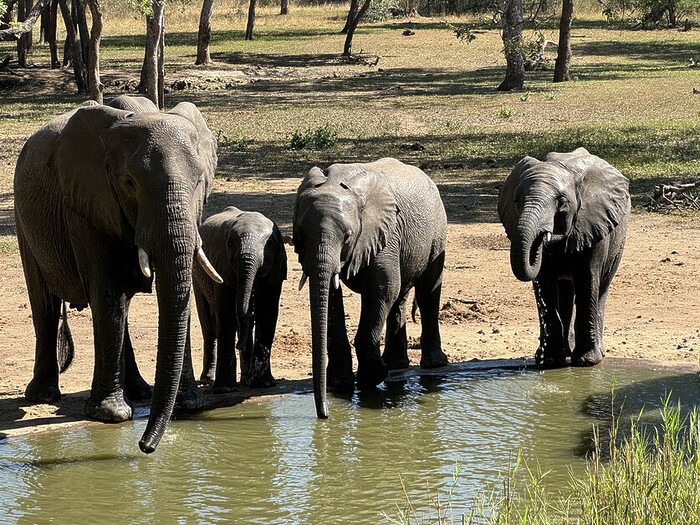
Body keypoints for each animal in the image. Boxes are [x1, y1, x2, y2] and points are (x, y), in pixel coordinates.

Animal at [14, 96, 221, 452]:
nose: (145, 446)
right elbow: (107, 291)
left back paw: (139, 391)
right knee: (45, 303)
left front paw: (191, 405)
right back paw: (43, 395)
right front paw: (111, 416)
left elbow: (174, 292)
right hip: (22, 217)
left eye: (198, 182)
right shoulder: (86, 201)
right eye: (129, 183)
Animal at [191, 207, 288, 390]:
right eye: (230, 243)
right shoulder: (220, 264)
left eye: (269, 244)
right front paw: (225, 389)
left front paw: (263, 384)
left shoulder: (276, 269)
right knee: (209, 324)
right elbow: (226, 315)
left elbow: (268, 313)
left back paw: (245, 380)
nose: (239, 345)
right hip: (197, 274)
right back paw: (210, 380)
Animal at [292, 158, 446, 420]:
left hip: (437, 230)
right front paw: (339, 384)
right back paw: (396, 364)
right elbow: (331, 295)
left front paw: (371, 379)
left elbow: (382, 287)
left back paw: (433, 364)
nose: (324, 415)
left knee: (427, 291)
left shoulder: (385, 233)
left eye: (347, 237)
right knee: (400, 297)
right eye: (300, 234)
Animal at [498, 147, 628, 368]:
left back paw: (597, 352)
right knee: (565, 292)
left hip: (617, 243)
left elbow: (587, 279)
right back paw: (566, 351)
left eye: (562, 203)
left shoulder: (593, 223)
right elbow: (545, 283)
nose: (542, 237)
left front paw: (586, 361)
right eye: (517, 201)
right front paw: (549, 361)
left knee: (600, 288)